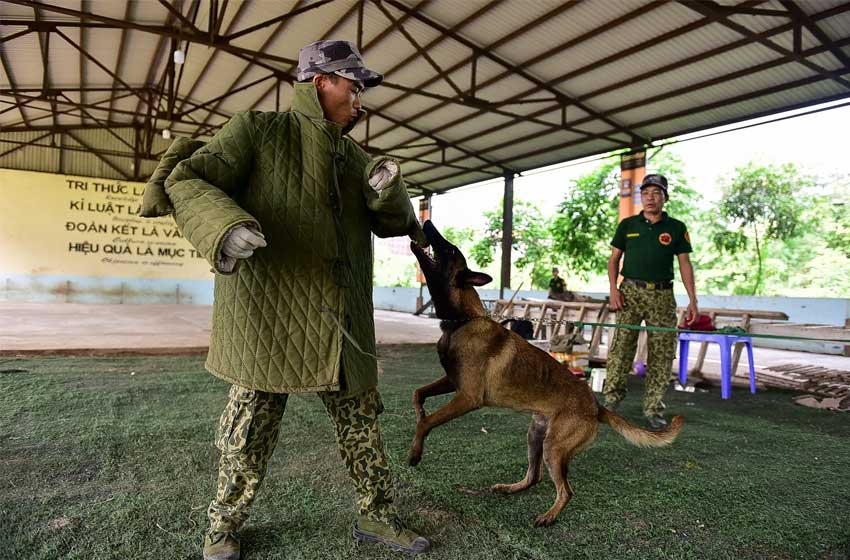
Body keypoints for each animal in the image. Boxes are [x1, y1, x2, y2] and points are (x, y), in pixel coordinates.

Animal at [406, 221, 684, 528]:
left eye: (450, 249)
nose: (427, 223)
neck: (462, 321)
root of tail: (595, 406)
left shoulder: (467, 397)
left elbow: (428, 422)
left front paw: (415, 452)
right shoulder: (452, 382)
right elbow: (417, 394)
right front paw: (418, 415)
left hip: (554, 446)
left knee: (566, 490)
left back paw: (549, 516)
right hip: (536, 435)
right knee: (534, 476)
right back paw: (511, 488)